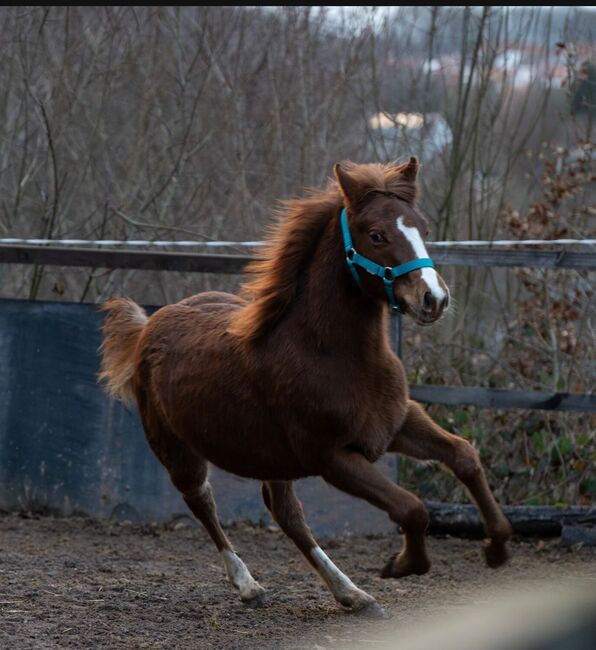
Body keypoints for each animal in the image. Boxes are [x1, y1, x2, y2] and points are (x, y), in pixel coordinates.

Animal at [100, 159, 510, 616]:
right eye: (377, 235)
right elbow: (413, 509)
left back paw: (352, 594)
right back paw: (250, 585)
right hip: (177, 450)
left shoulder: (399, 422)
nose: (433, 298)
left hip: (273, 459)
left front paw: (497, 548)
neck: (329, 353)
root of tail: (149, 325)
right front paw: (400, 565)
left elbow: (464, 456)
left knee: (286, 515)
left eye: (423, 227)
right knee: (202, 501)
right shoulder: (331, 457)